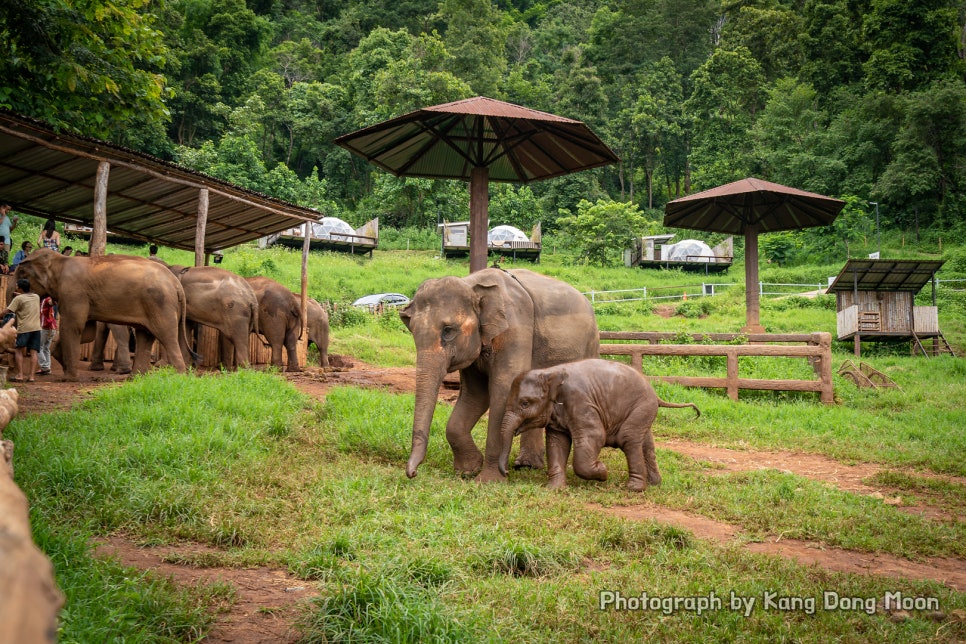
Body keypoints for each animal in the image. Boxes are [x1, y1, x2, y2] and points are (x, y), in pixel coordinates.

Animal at [398, 266, 596, 484]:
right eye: (412, 330)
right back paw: (526, 465)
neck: (473, 285)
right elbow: (476, 394)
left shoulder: (515, 329)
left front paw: (488, 481)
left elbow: (504, 391)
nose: (412, 473)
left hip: (591, 342)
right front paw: (468, 470)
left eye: (448, 331)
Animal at [500, 360, 704, 490]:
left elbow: (595, 435)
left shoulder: (581, 402)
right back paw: (654, 484)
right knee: (646, 443)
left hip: (642, 406)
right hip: (644, 411)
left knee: (629, 438)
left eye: (525, 403)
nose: (508, 471)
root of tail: (655, 394)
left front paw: (602, 472)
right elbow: (557, 442)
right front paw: (554, 489)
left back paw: (634, 488)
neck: (550, 372)